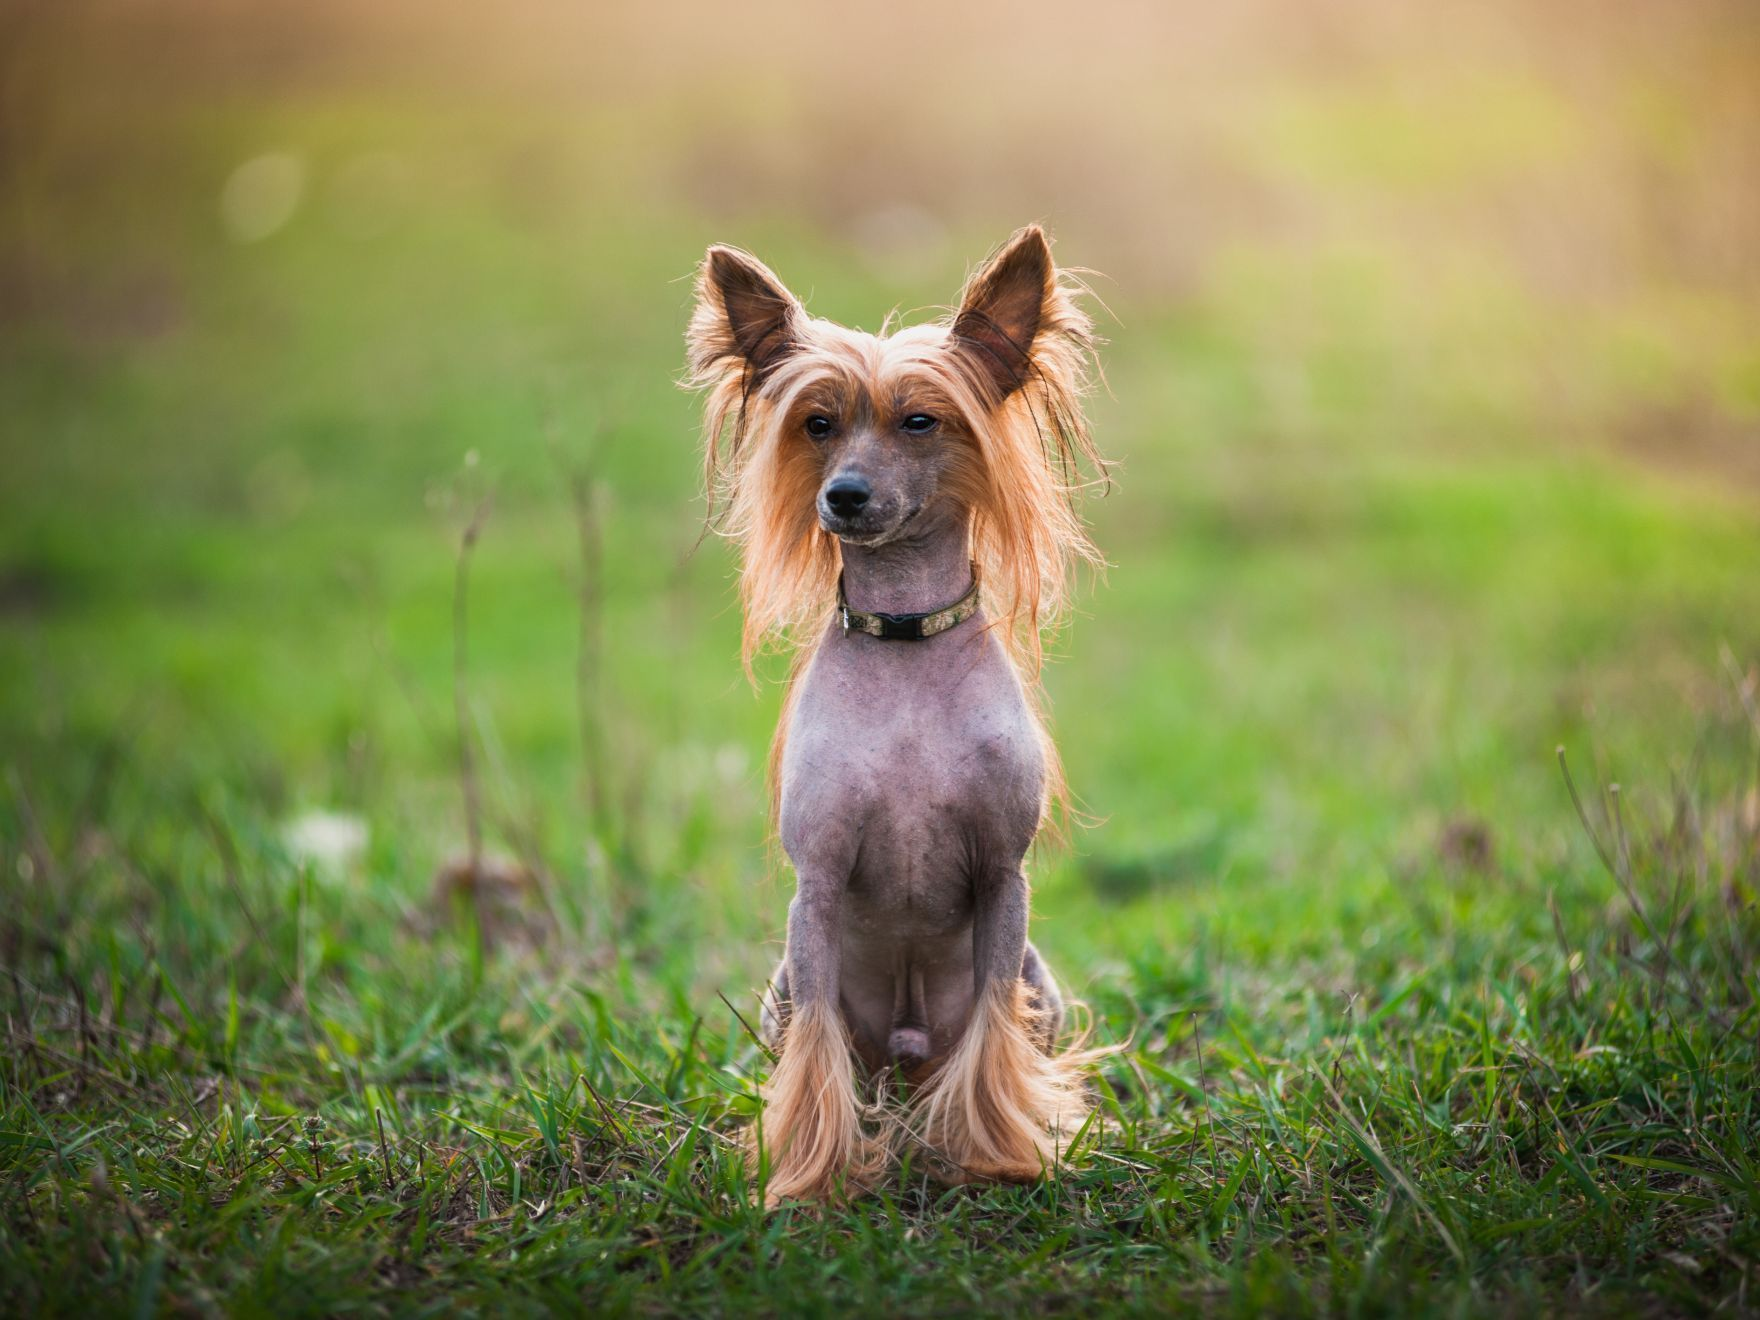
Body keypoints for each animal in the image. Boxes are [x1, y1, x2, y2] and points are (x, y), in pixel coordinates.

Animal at [689, 225, 1112, 1210]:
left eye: (921, 421)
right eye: (817, 424)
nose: (842, 494)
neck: (908, 642)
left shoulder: (1003, 882)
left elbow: (993, 1035)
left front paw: (999, 1156)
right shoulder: (816, 892)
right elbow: (814, 1058)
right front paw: (808, 1179)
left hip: (1044, 985)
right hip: (781, 991)